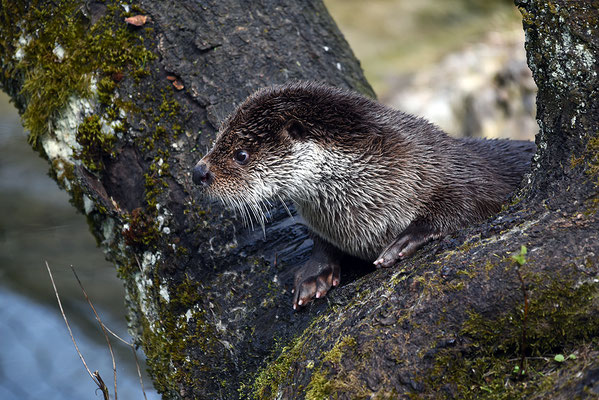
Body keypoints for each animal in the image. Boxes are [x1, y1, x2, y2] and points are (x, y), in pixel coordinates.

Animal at [191, 82, 536, 310]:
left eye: (241, 155)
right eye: (217, 138)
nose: (198, 172)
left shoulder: (465, 175)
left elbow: (469, 201)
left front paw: (405, 240)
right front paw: (315, 274)